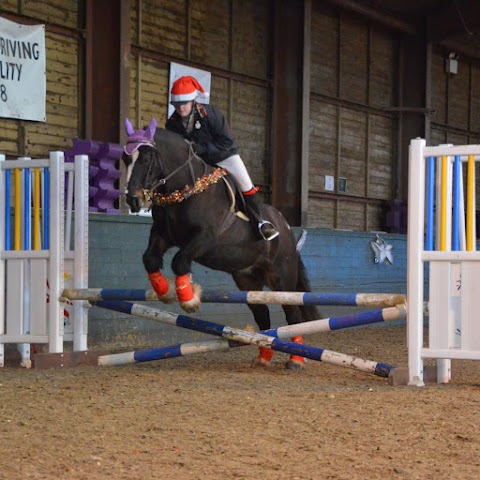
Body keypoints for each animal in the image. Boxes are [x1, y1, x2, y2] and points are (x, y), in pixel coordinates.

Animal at [122, 118, 320, 370]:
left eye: (146, 159)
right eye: (125, 159)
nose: (133, 199)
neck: (186, 189)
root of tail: (286, 229)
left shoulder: (206, 238)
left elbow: (179, 261)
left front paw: (189, 300)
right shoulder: (163, 235)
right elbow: (149, 259)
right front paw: (165, 292)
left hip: (282, 278)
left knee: (293, 315)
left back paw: (296, 359)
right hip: (248, 281)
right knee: (263, 316)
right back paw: (264, 357)